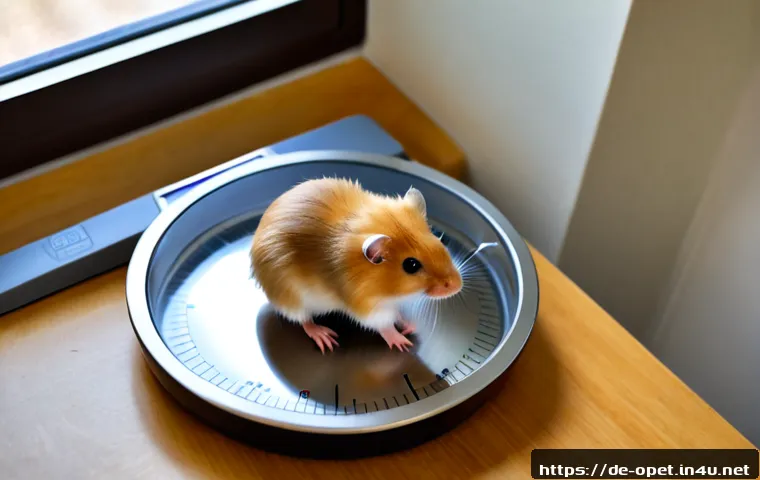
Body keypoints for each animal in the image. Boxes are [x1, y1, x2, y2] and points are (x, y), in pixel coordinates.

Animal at [250, 177, 462, 353]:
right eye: (411, 265)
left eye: (440, 243)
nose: (457, 286)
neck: (388, 292)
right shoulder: (366, 307)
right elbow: (384, 325)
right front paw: (403, 342)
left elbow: (398, 314)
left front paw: (410, 326)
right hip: (292, 299)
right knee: (304, 321)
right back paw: (325, 337)